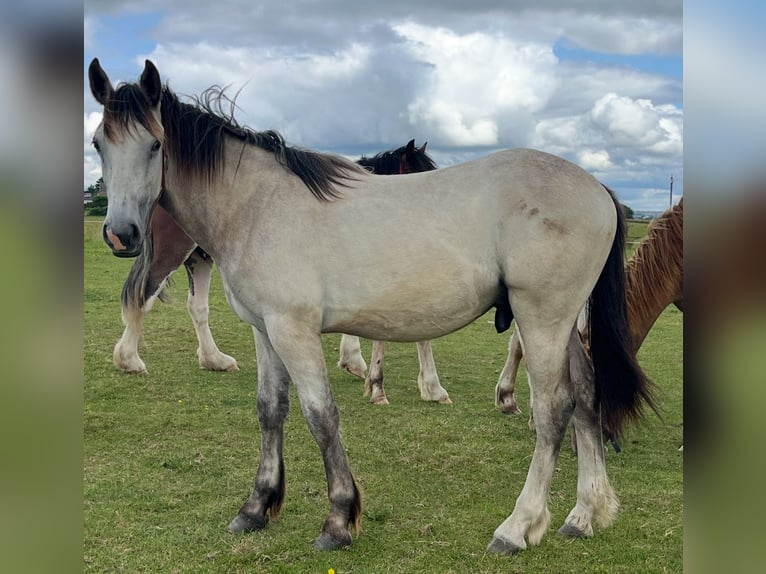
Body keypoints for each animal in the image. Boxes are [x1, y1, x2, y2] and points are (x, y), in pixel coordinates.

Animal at [112, 139, 440, 380]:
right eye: (419, 173)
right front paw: (355, 362)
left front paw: (351, 360)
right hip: (171, 253)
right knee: (141, 298)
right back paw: (130, 360)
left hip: (199, 260)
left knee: (197, 307)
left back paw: (214, 360)